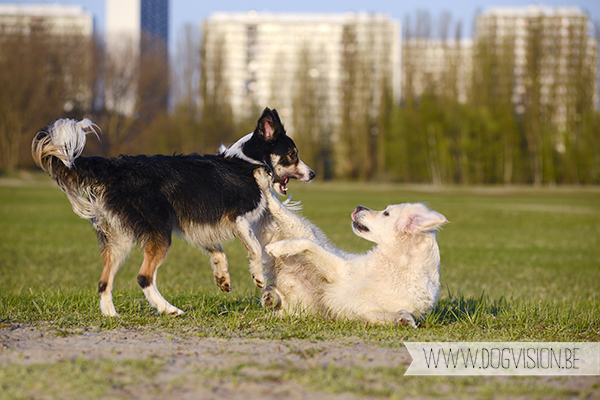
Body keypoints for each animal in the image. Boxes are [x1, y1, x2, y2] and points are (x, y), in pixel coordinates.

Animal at [32, 107, 314, 316]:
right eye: (292, 154)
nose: (311, 174)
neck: (248, 163)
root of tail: (114, 169)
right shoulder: (238, 218)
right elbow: (255, 248)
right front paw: (258, 277)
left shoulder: (201, 225)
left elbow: (218, 252)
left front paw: (222, 278)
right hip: (159, 233)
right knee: (143, 277)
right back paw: (168, 309)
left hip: (117, 239)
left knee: (104, 281)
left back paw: (111, 315)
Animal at [255, 188, 448, 328]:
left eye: (386, 213)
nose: (359, 207)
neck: (399, 265)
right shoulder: (340, 271)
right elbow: (309, 245)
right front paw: (277, 247)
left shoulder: (367, 311)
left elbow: (399, 313)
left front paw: (404, 320)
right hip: (301, 228)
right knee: (280, 210)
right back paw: (265, 184)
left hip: (299, 306)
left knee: (278, 300)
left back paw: (270, 297)